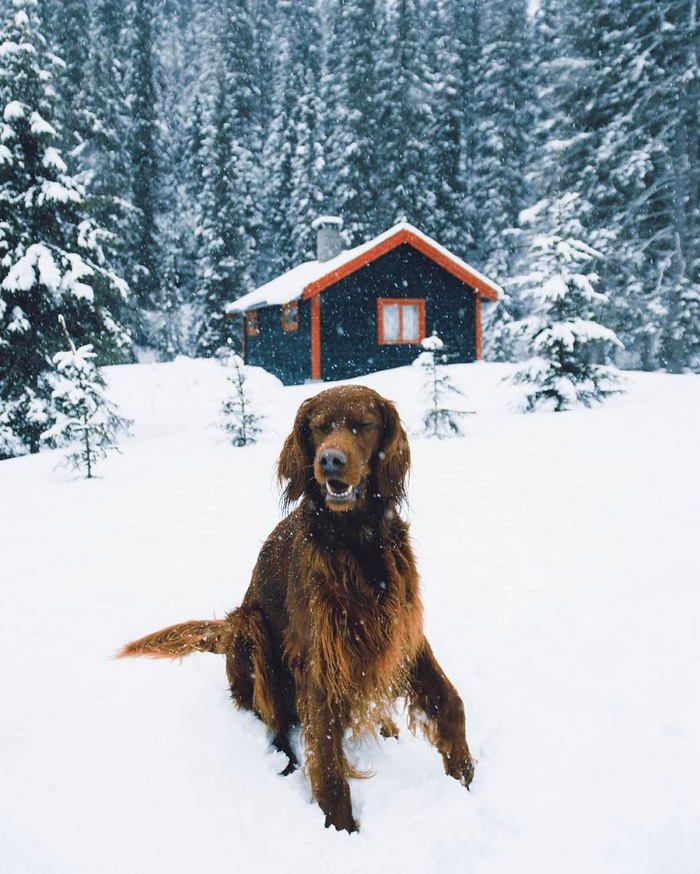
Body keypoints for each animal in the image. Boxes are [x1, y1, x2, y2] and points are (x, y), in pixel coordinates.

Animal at [117, 384, 474, 832]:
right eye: (319, 428)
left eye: (363, 424)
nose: (330, 461)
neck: (356, 540)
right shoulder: (319, 657)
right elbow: (328, 762)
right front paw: (342, 831)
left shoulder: (401, 629)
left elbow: (450, 702)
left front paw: (464, 776)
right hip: (249, 628)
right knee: (274, 722)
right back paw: (285, 761)